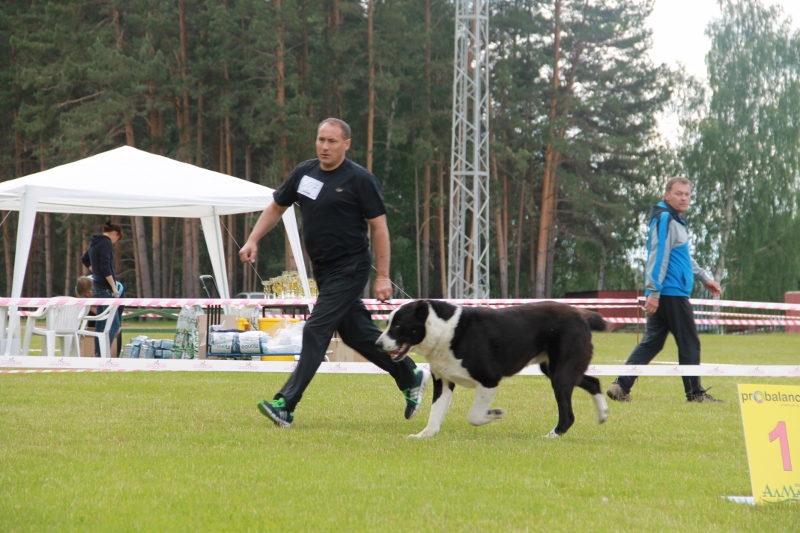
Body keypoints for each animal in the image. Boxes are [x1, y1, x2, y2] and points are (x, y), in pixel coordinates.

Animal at [376, 300, 609, 438]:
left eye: (398, 326)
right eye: (388, 323)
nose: (378, 344)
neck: (444, 331)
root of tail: (582, 314)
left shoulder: (489, 380)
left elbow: (474, 416)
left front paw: (495, 413)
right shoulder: (443, 382)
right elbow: (435, 413)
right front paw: (425, 435)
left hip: (560, 374)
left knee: (568, 414)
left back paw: (552, 436)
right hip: (553, 369)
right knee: (594, 381)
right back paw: (603, 414)